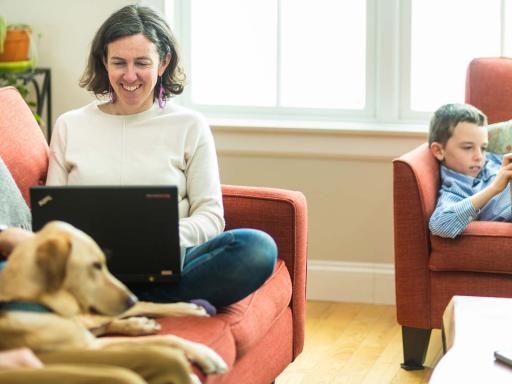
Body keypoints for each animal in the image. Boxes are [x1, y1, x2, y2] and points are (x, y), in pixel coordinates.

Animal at [0, 220, 228, 380]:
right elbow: (165, 340)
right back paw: (140, 324)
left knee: (134, 309)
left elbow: (165, 338)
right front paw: (202, 355)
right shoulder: (91, 348)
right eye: (95, 265)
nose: (131, 298)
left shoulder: (90, 344)